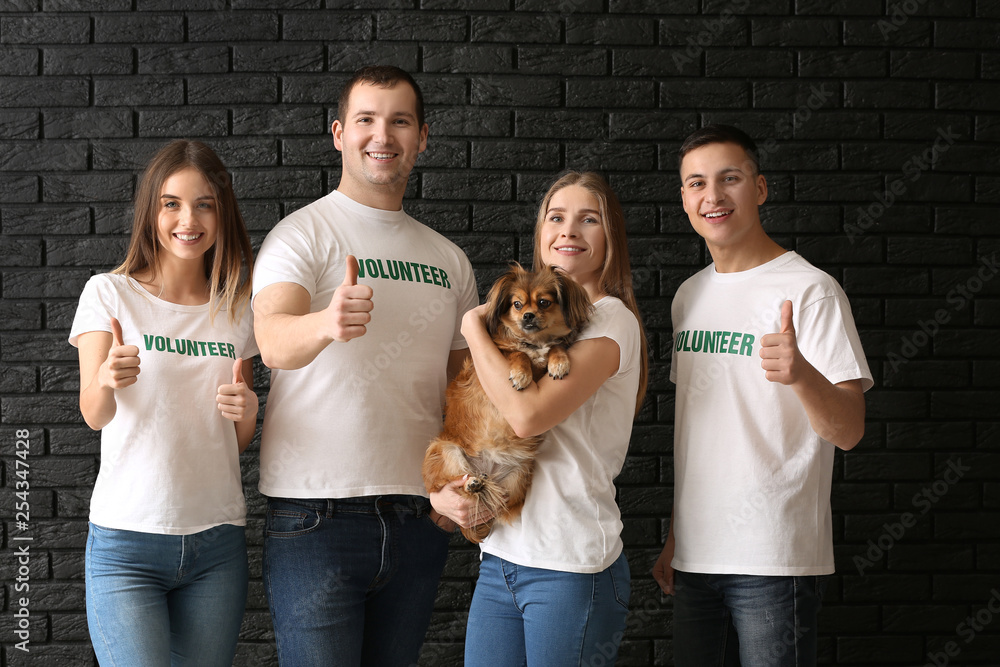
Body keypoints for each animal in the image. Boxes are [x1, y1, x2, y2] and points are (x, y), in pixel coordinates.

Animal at [422, 262, 592, 544]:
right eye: (517, 304)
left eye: (544, 302)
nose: (528, 316)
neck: (535, 341)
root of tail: (487, 472)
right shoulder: (498, 355)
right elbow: (517, 353)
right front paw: (521, 373)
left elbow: (556, 348)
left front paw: (559, 362)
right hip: (445, 451)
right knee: (459, 486)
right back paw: (472, 484)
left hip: (518, 475)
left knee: (499, 503)